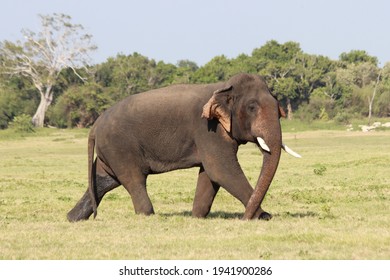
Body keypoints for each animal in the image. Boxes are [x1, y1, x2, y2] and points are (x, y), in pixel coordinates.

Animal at [67, 73, 300, 222]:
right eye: (252, 108)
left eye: (277, 107)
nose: (243, 218)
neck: (222, 87)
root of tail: (95, 125)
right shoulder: (207, 129)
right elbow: (221, 170)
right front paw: (265, 216)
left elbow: (209, 173)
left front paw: (197, 216)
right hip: (120, 147)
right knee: (133, 179)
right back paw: (148, 215)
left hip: (110, 151)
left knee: (103, 180)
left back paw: (73, 218)